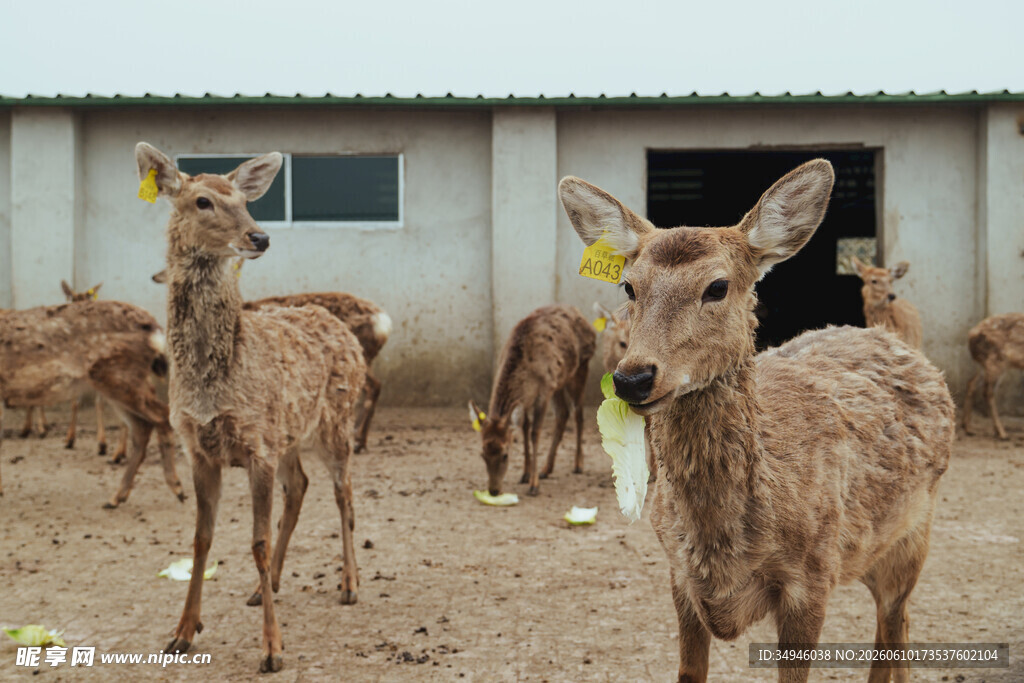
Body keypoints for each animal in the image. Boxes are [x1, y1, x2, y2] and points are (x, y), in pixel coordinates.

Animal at [0, 300, 185, 508]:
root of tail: (155, 329)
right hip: (120, 382)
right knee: (143, 427)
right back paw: (117, 497)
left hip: (118, 375)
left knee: (162, 416)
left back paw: (176, 488)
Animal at [469, 304, 595, 497]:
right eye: (482, 454)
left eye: (505, 454)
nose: (494, 490)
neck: (527, 377)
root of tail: (576, 311)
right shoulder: (528, 398)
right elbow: (524, 428)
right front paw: (525, 475)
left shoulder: (543, 391)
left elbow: (535, 433)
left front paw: (534, 485)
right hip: (559, 381)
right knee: (563, 413)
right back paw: (546, 469)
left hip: (580, 367)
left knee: (578, 413)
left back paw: (578, 465)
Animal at [559, 159, 955, 683]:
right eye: (629, 285)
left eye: (717, 286)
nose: (633, 378)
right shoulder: (678, 574)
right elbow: (690, 672)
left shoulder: (812, 576)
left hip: (915, 532)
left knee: (896, 619)